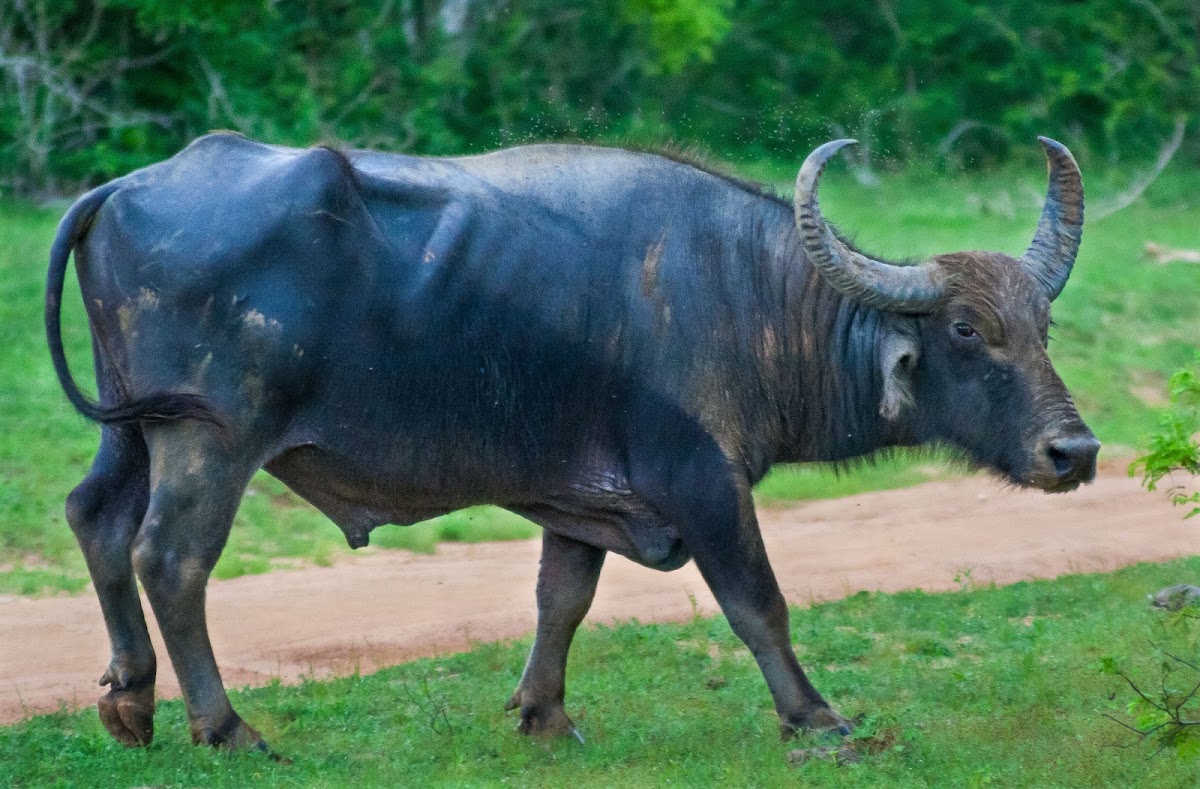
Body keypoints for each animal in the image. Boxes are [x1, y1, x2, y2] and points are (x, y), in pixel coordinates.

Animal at [44, 133, 1099, 748]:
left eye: (1041, 324)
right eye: (965, 331)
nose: (1075, 453)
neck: (751, 296)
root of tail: (122, 188)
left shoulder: (581, 492)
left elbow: (564, 597)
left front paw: (543, 714)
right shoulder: (703, 480)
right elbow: (758, 603)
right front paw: (816, 717)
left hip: (133, 428)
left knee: (96, 519)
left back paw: (131, 701)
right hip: (210, 438)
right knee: (171, 556)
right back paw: (225, 727)